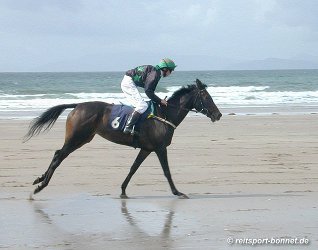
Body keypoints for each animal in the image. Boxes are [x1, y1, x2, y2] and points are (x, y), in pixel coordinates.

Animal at [24, 79, 221, 198]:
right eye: (206, 96)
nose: (218, 114)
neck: (164, 115)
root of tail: (78, 105)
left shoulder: (146, 149)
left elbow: (133, 168)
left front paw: (123, 190)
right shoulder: (160, 148)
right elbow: (166, 171)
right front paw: (177, 192)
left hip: (83, 138)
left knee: (58, 154)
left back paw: (39, 179)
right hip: (76, 138)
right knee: (59, 155)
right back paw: (41, 185)